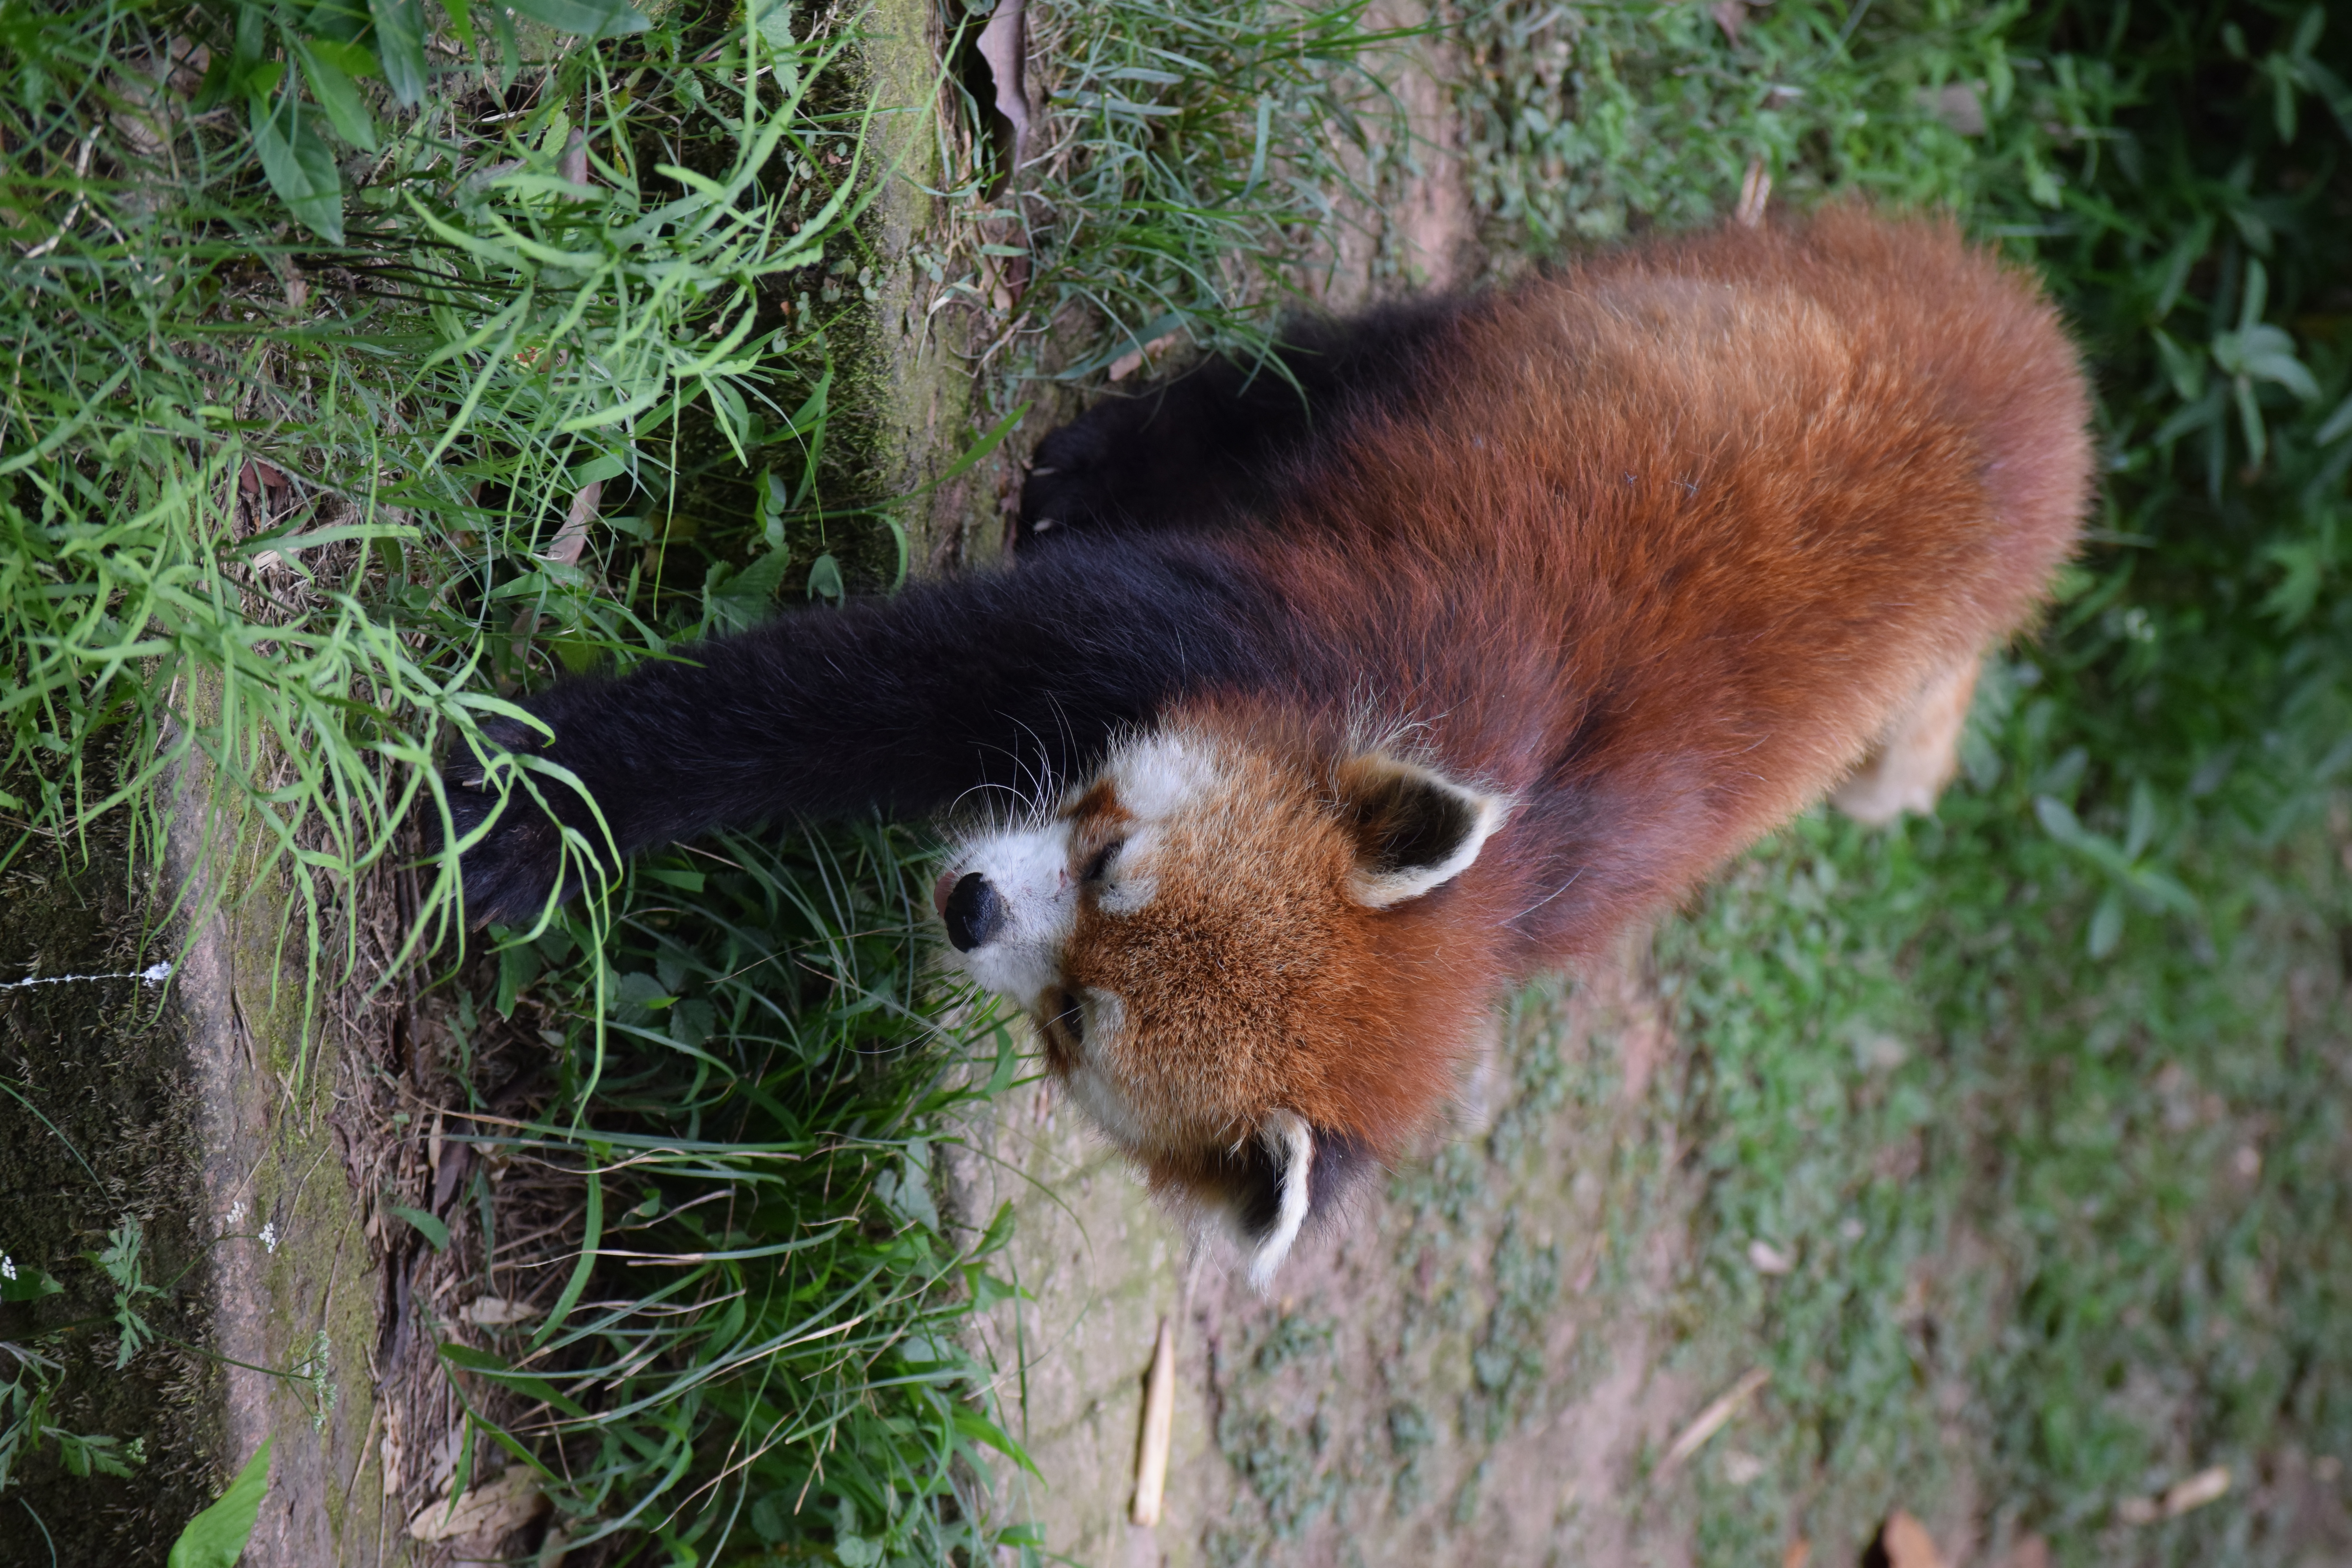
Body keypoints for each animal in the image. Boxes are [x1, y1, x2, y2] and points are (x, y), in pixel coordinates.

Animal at [446, 207, 2092, 1287]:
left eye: (1074, 1024)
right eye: (1107, 850)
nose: (968, 903)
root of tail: (2041, 349)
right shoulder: (1241, 634)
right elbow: (838, 693)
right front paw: (538, 802)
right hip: (1629, 302)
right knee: (1346, 358)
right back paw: (1127, 449)